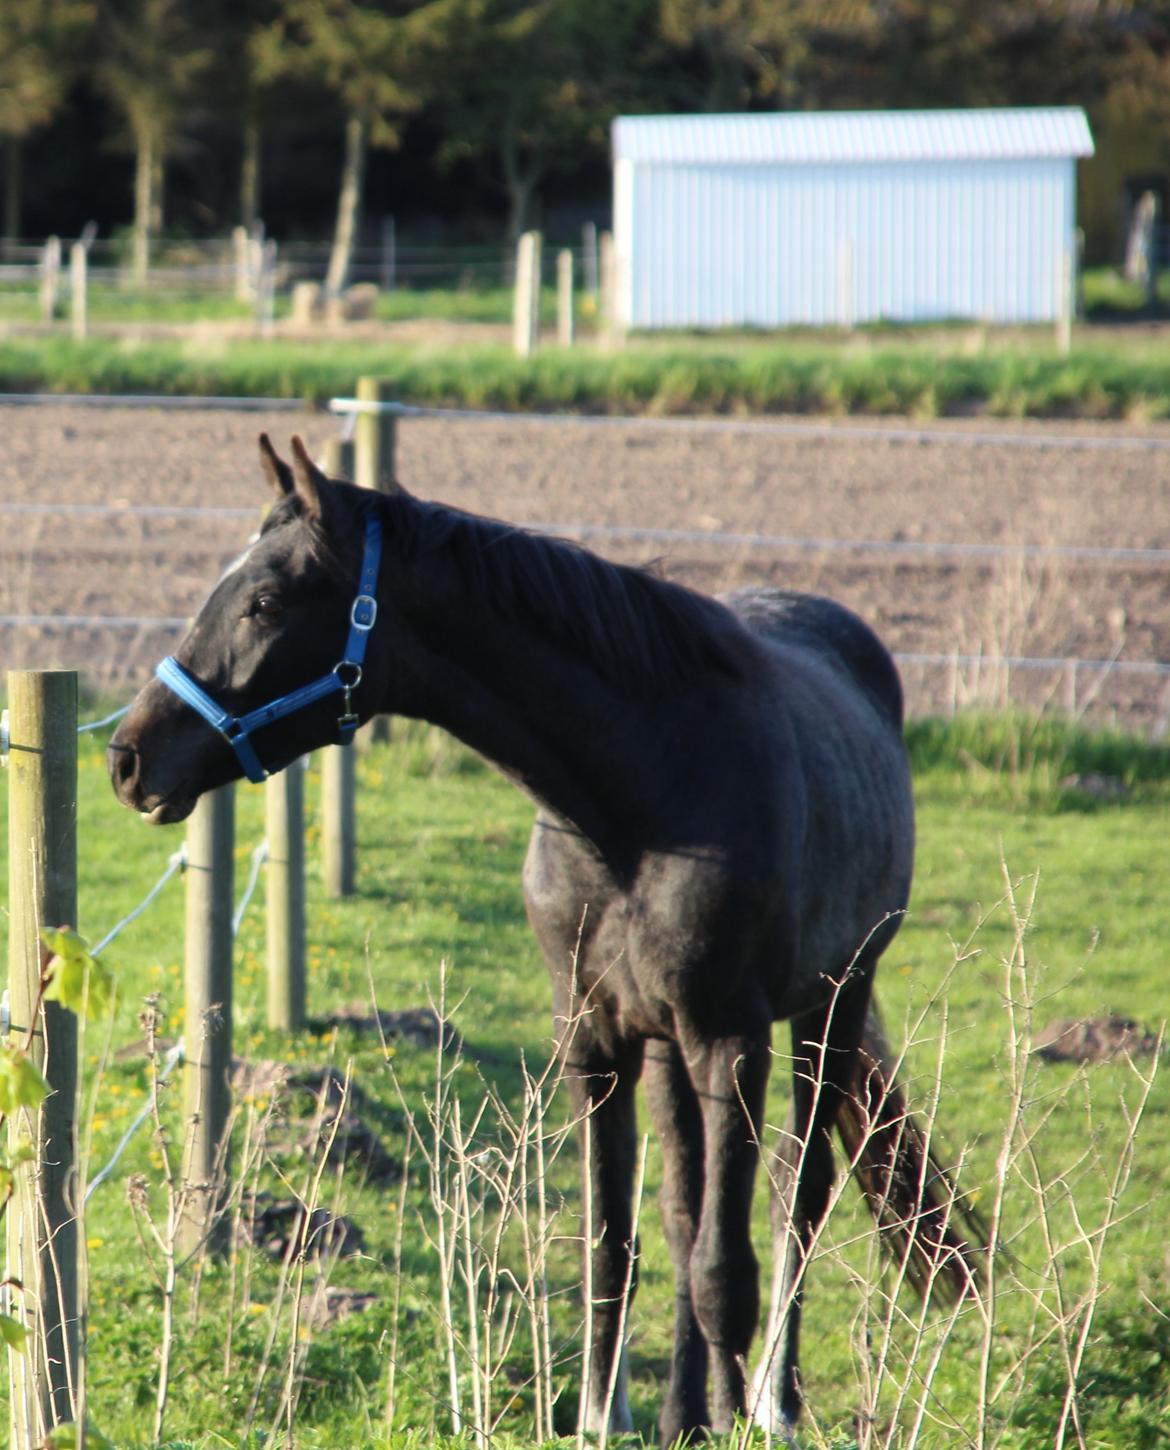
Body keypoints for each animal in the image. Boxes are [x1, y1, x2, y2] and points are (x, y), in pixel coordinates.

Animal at [112, 435, 985, 1444]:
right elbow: (618, 1248)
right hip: (669, 1049)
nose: (128, 757)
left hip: (831, 1006)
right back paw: (693, 1409)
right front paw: (607, 1419)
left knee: (792, 1202)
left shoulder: (729, 1039)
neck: (640, 801)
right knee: (687, 1211)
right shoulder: (597, 1041)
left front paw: (741, 1411)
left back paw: (770, 1402)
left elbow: (728, 1270)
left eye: (264, 602)